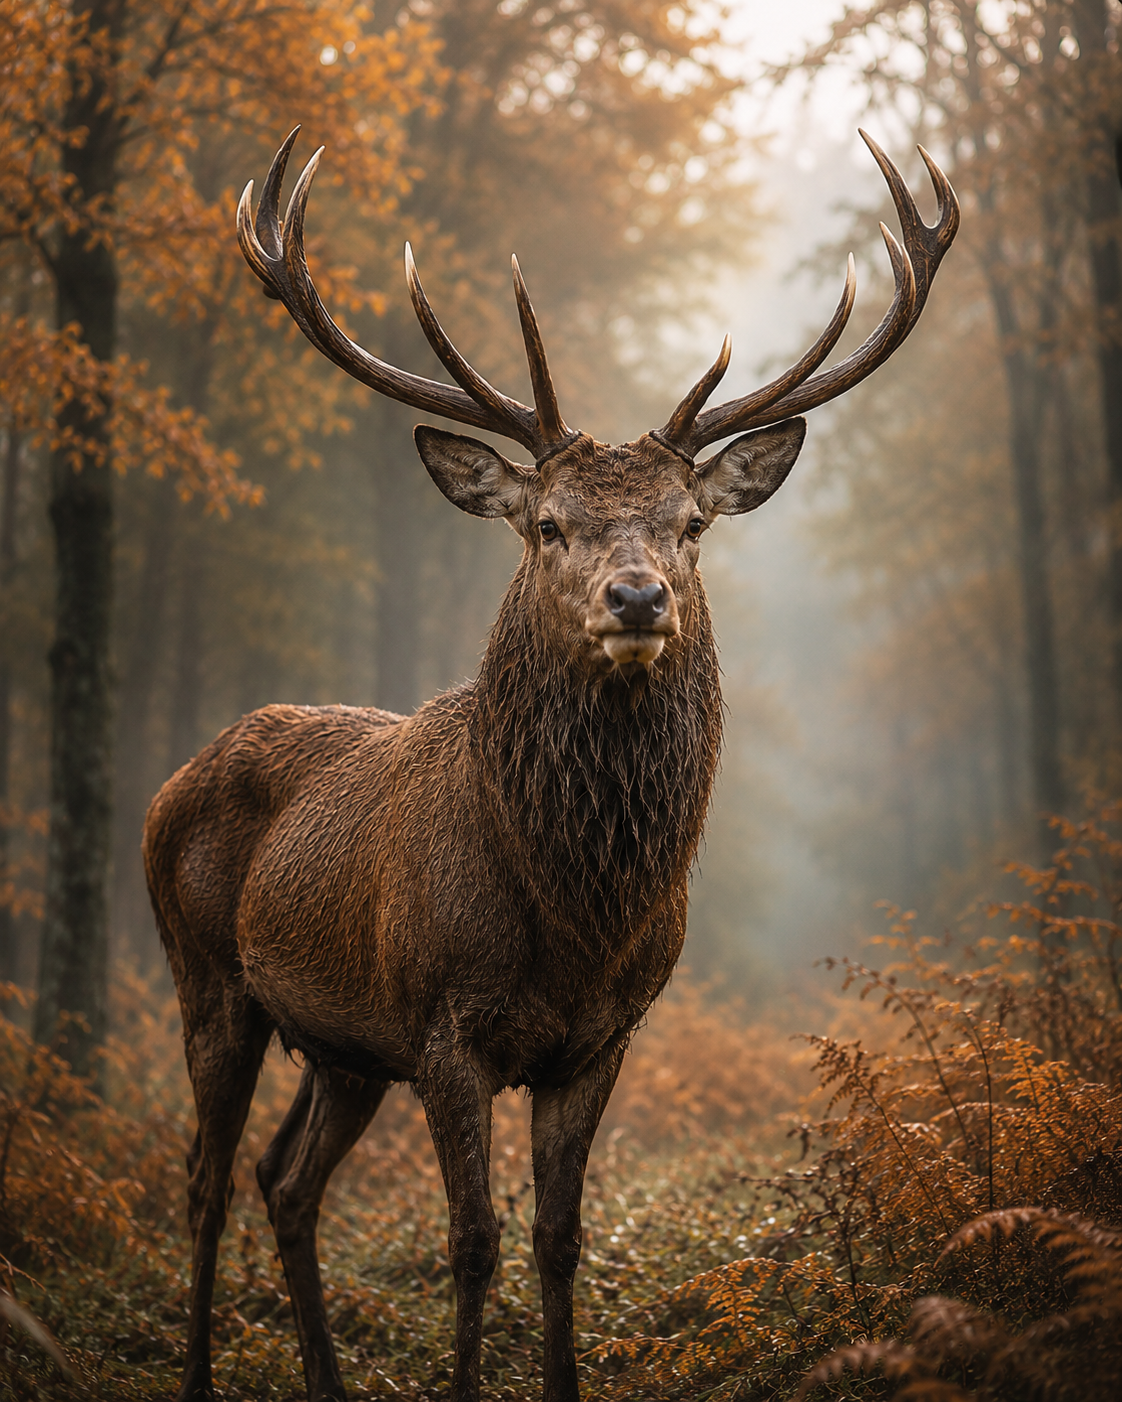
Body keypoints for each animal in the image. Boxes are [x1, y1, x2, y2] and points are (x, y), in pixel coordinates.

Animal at [143, 127, 958, 1402]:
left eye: (690, 523)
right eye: (547, 525)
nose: (638, 596)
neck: (573, 917)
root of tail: (172, 784)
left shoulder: (604, 1034)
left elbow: (559, 1236)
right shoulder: (443, 1023)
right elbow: (472, 1239)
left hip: (342, 1044)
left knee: (286, 1181)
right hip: (207, 977)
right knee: (204, 1181)